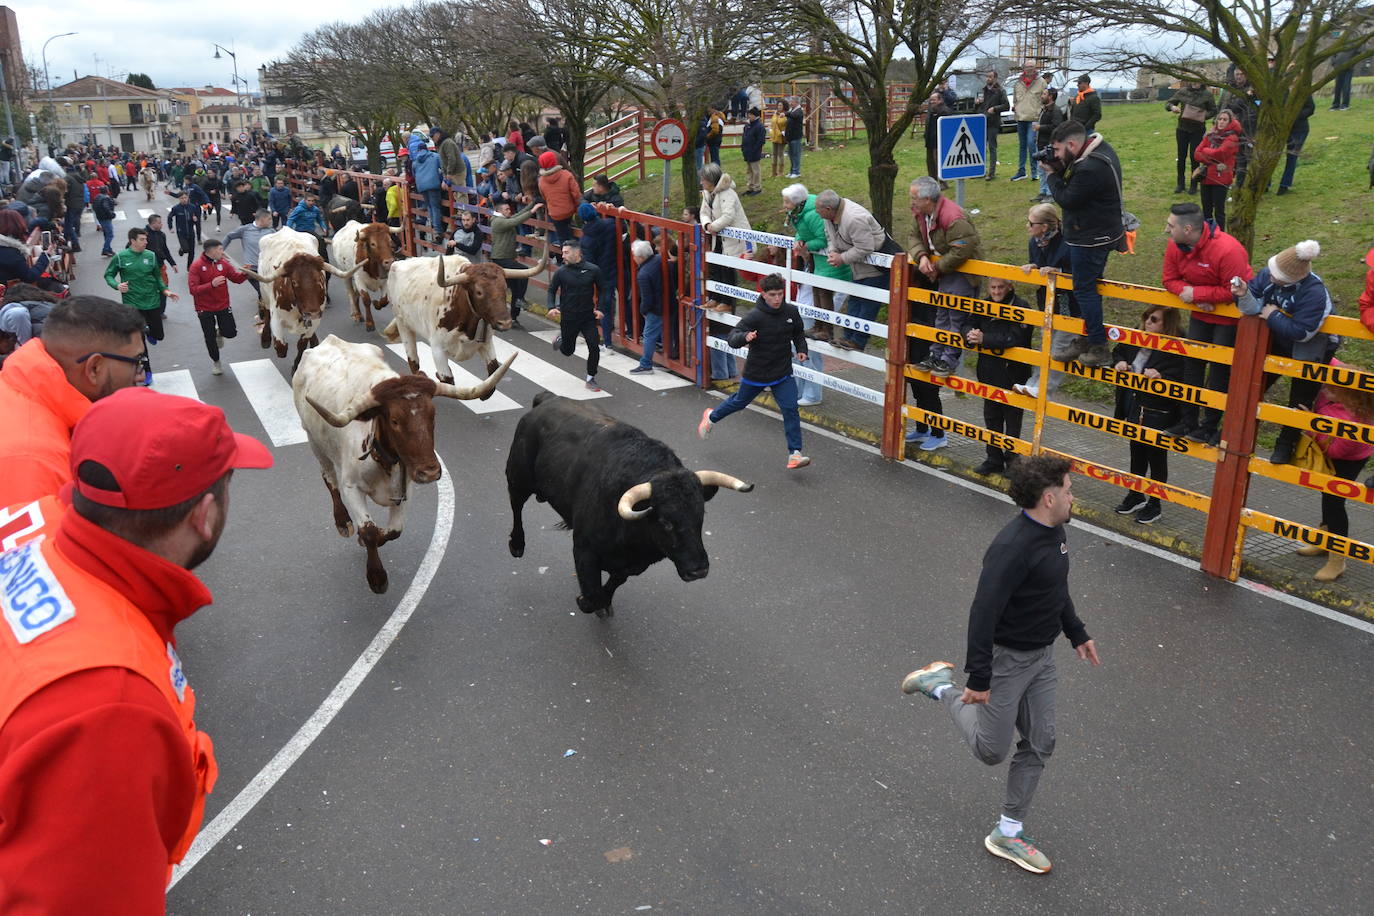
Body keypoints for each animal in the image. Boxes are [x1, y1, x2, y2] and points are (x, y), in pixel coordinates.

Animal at [511, 390, 752, 620]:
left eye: (700, 514)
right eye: (665, 521)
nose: (698, 571)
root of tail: (549, 399)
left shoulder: (633, 566)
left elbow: (612, 585)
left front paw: (605, 604)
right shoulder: (584, 549)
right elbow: (591, 594)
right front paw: (585, 601)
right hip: (518, 476)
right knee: (516, 506)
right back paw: (516, 545)